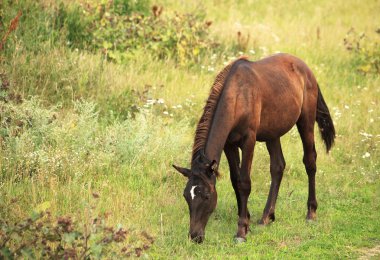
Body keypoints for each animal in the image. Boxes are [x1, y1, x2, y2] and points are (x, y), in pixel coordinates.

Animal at [173, 53, 336, 244]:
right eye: (186, 195)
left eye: (206, 195)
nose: (195, 236)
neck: (237, 96)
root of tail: (306, 69)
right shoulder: (229, 145)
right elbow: (235, 180)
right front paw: (247, 220)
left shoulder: (248, 141)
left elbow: (244, 183)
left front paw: (241, 231)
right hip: (273, 133)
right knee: (278, 167)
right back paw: (267, 216)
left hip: (306, 121)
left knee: (310, 161)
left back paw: (311, 213)